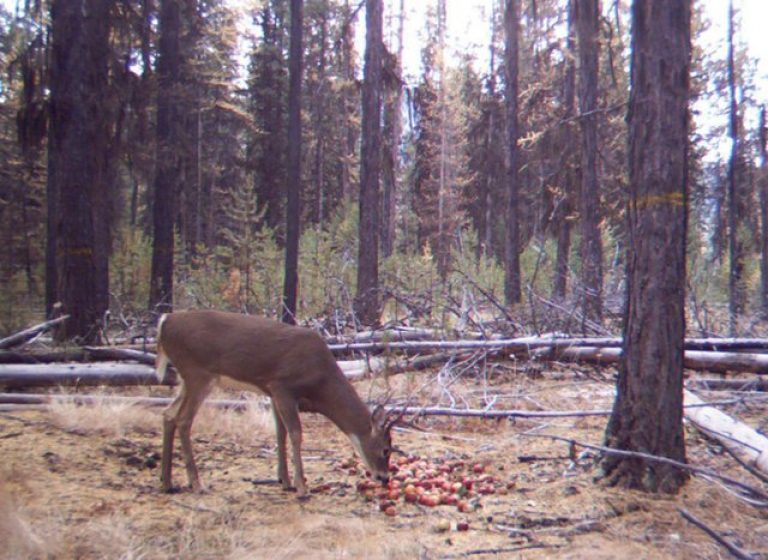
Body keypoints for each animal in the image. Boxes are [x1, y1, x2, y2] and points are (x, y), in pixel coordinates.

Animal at [155, 310, 398, 498]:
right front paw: (302, 487)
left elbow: (280, 433)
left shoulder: (272, 392)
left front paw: (285, 481)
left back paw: (167, 482)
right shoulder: (283, 386)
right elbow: (296, 433)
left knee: (168, 414)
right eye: (386, 449)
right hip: (198, 373)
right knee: (183, 419)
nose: (384, 478)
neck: (320, 382)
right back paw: (196, 484)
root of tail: (165, 321)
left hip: (187, 378)